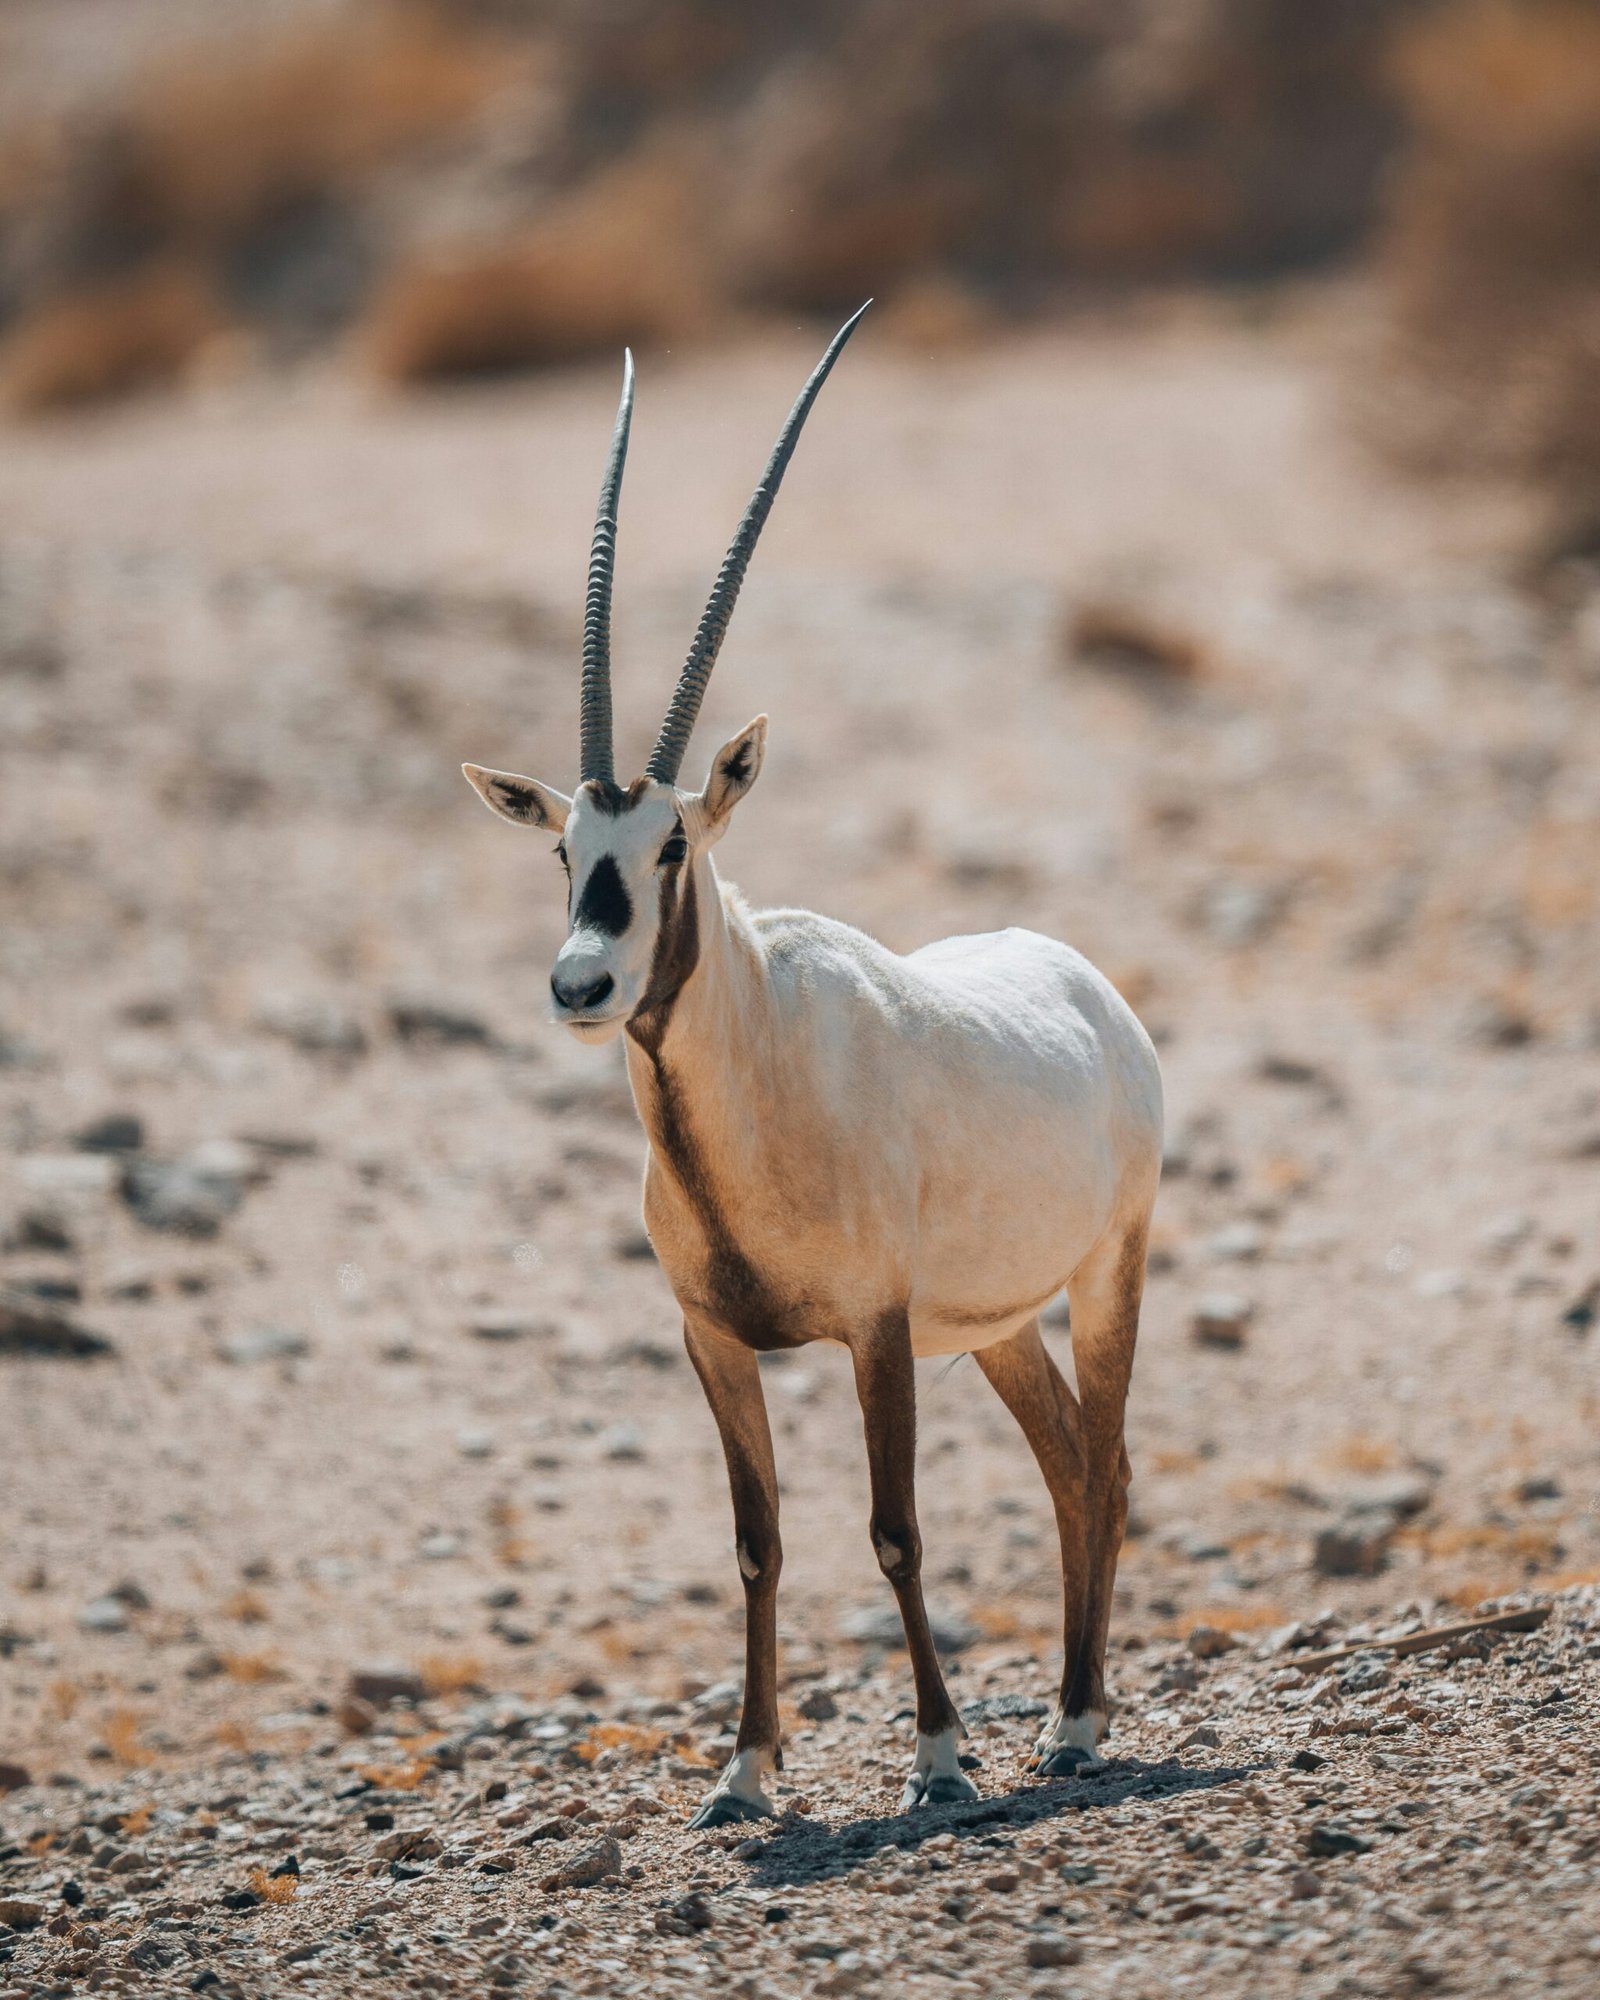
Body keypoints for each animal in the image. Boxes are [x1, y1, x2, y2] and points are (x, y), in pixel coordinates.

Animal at [463, 305, 1163, 1827]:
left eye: (674, 843)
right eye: (564, 850)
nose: (581, 984)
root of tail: (1086, 983)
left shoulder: (876, 1326)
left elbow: (894, 1529)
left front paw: (940, 1758)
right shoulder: (713, 1337)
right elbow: (757, 1541)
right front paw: (743, 1773)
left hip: (1106, 1270)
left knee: (1108, 1458)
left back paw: (1078, 1724)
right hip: (998, 1322)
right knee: (1068, 1461)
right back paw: (1065, 1716)